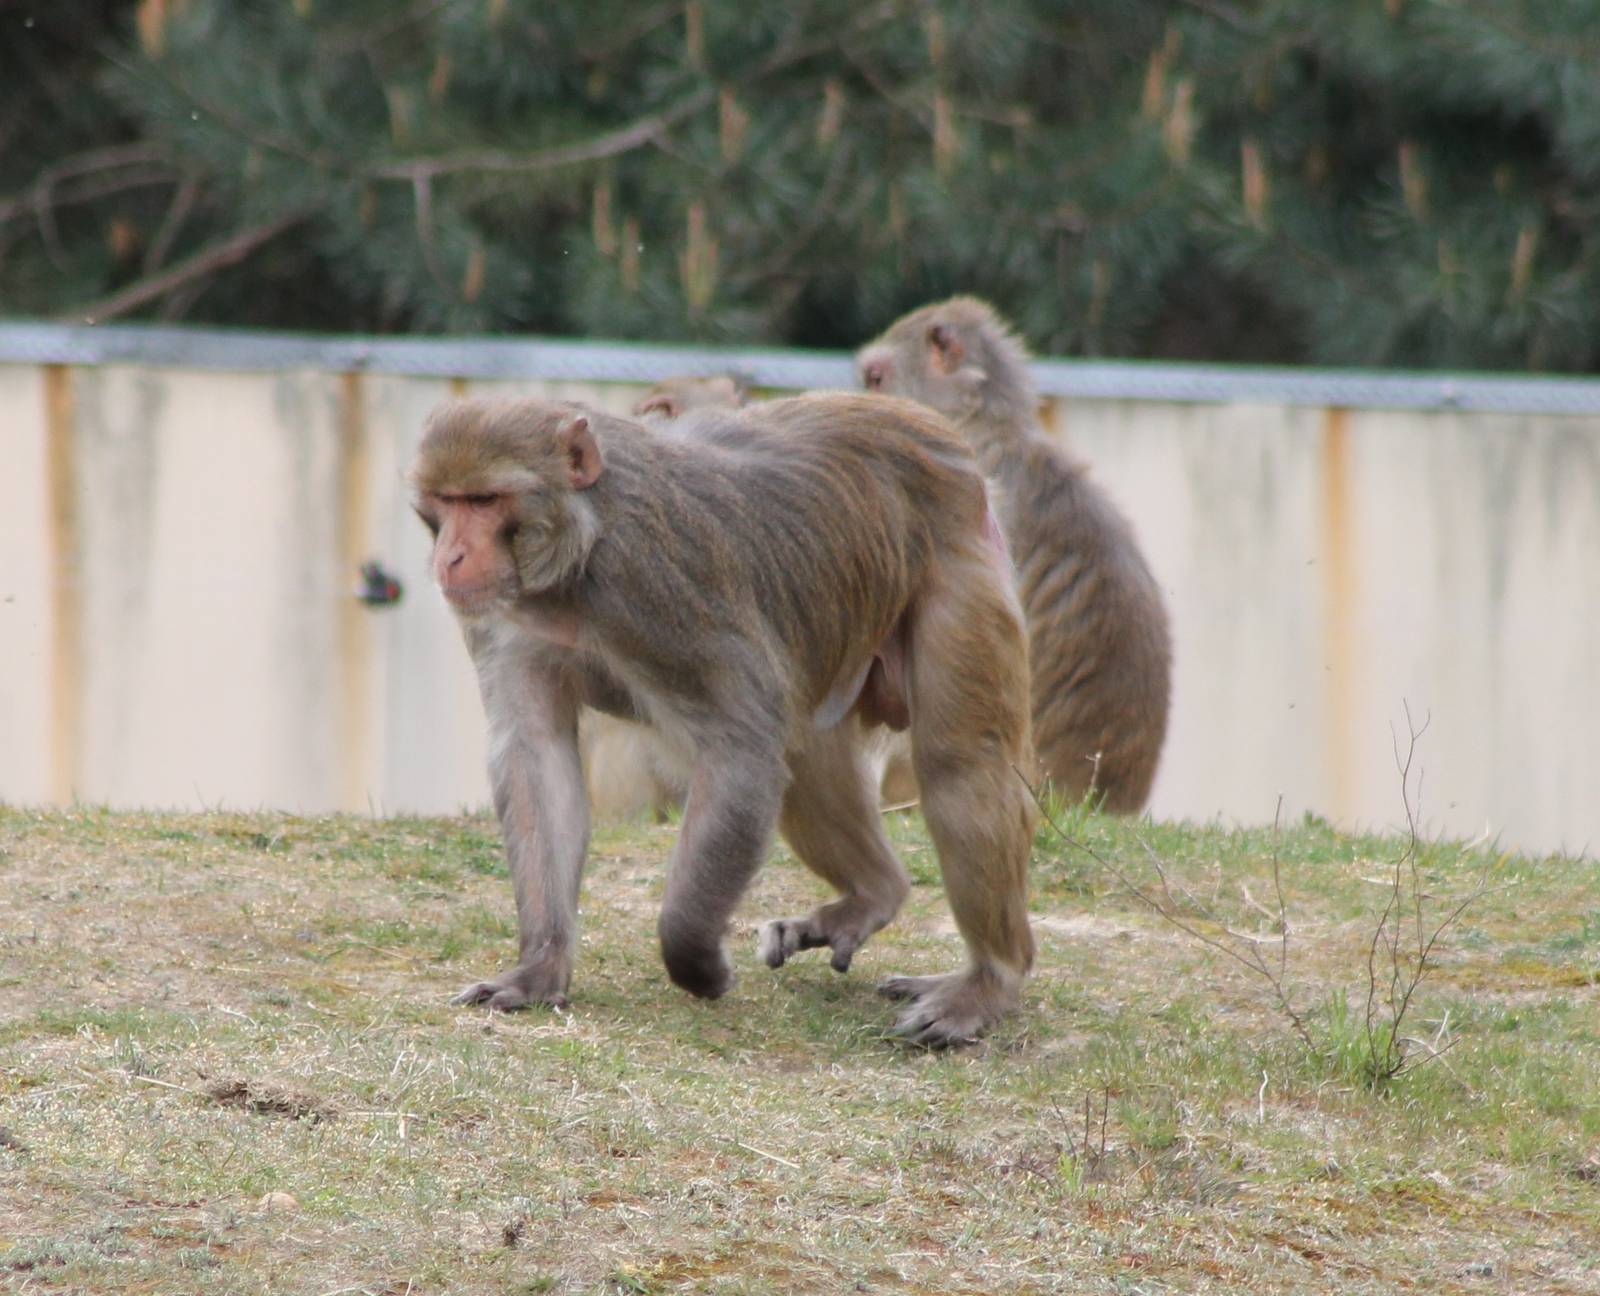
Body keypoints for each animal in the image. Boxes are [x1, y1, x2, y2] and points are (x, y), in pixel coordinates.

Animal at [411, 393, 1036, 1045]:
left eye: (485, 500)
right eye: (447, 502)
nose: (450, 556)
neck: (576, 558)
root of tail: (932, 426)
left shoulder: (661, 584)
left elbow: (739, 746)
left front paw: (694, 957)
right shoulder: (506, 619)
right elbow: (537, 755)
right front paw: (539, 968)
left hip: (962, 564)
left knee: (958, 763)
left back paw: (989, 980)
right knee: (804, 747)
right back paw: (873, 894)